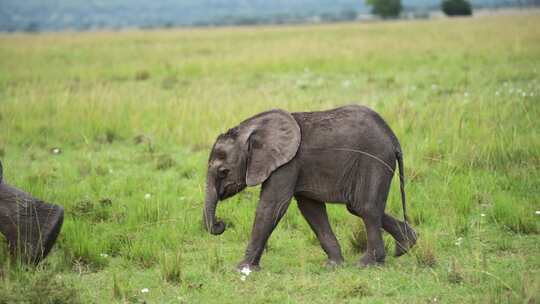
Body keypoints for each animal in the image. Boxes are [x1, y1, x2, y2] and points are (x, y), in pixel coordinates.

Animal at [202, 104, 418, 270]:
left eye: (223, 172)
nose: (220, 224)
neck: (251, 129)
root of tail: (393, 139)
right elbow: (311, 209)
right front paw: (333, 265)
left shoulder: (288, 163)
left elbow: (272, 206)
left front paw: (242, 268)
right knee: (357, 207)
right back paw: (406, 245)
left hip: (374, 160)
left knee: (366, 207)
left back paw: (367, 263)